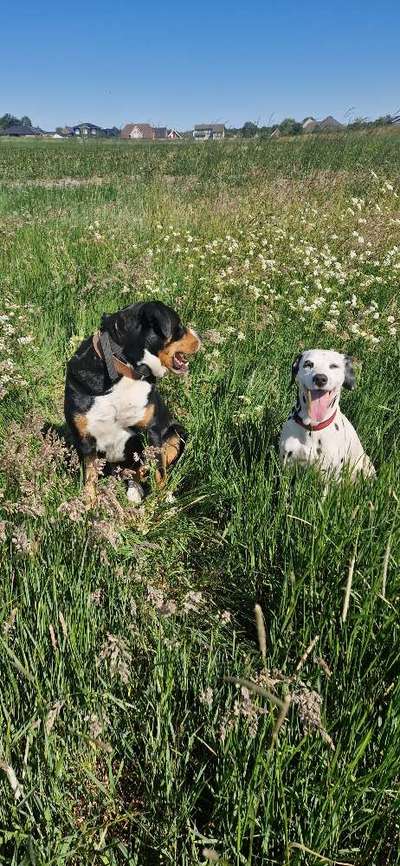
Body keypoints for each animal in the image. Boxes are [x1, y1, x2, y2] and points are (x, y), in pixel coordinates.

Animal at [65, 300, 200, 502]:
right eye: (179, 326)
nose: (200, 337)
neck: (124, 369)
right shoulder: (85, 439)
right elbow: (90, 478)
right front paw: (87, 505)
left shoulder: (152, 432)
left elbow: (159, 472)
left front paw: (161, 503)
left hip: (177, 433)